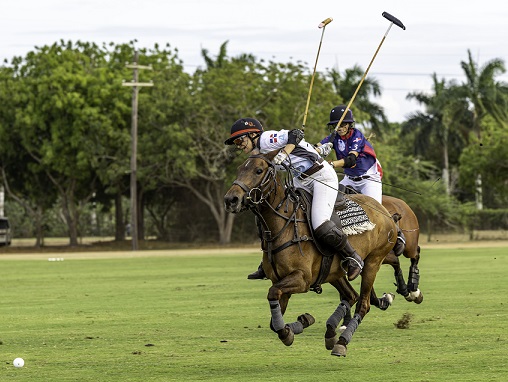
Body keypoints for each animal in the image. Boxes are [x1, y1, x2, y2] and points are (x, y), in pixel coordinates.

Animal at [224, 151, 398, 356]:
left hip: (373, 262)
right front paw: (302, 321)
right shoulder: (280, 281)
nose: (231, 200)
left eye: (258, 170)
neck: (284, 225)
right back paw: (330, 332)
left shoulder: (302, 279)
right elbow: (274, 321)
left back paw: (341, 342)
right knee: (350, 296)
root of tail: (385, 211)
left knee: (363, 303)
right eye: (239, 169)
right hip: (335, 272)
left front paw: (290, 332)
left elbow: (272, 296)